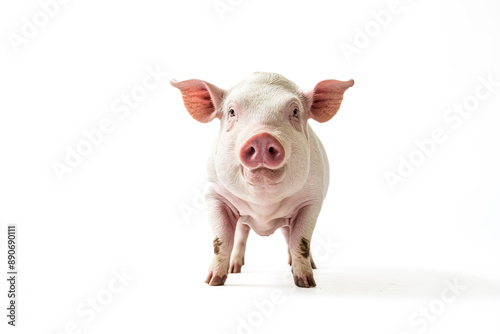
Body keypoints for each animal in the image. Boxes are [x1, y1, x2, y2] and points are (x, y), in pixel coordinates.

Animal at [170, 72, 354, 288]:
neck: (264, 205)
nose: (262, 137)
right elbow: (221, 240)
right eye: (231, 111)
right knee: (242, 234)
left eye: (295, 111)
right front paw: (213, 282)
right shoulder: (215, 195)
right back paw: (234, 269)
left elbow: (300, 242)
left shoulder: (312, 200)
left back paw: (308, 266)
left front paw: (306, 283)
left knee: (288, 236)